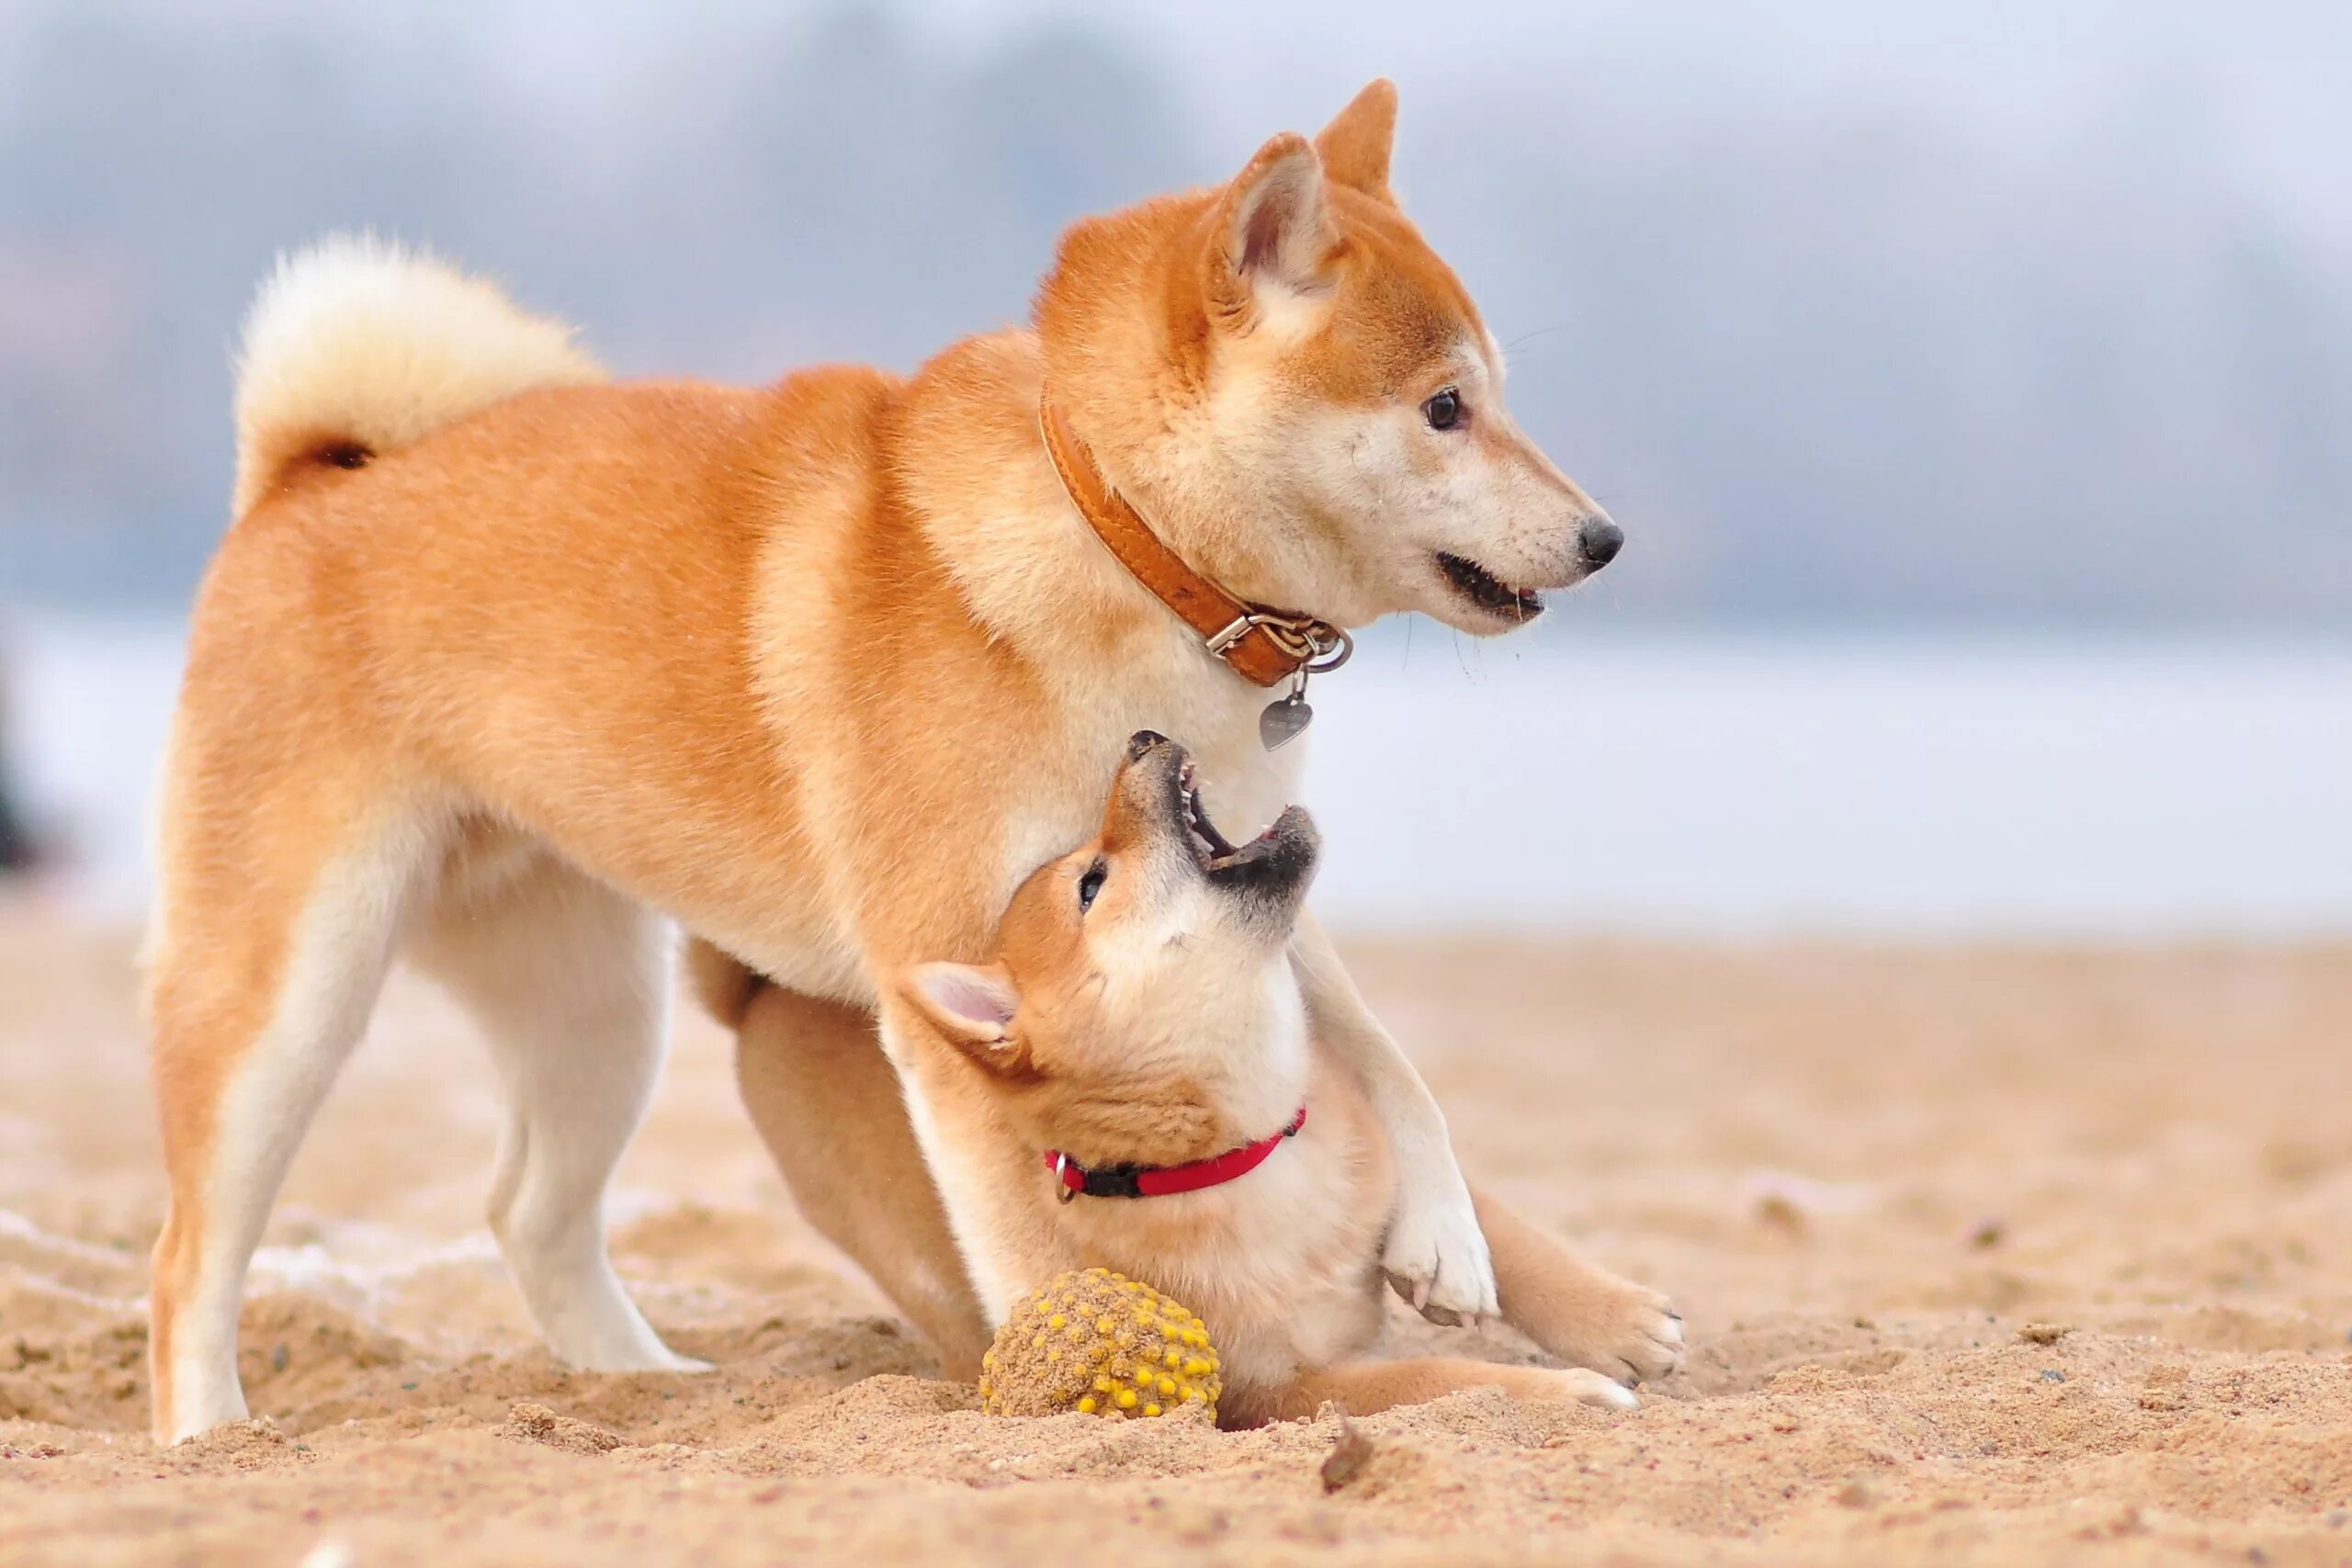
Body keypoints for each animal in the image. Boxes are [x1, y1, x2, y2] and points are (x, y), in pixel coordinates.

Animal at [888, 728, 1683, 1429]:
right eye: (1091, 883)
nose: (1142, 738)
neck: (1261, 1147)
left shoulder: (1380, 1142)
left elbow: (1502, 1233)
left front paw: (1622, 1321)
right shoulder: (1281, 1389)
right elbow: (1431, 1378)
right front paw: (1570, 1393)